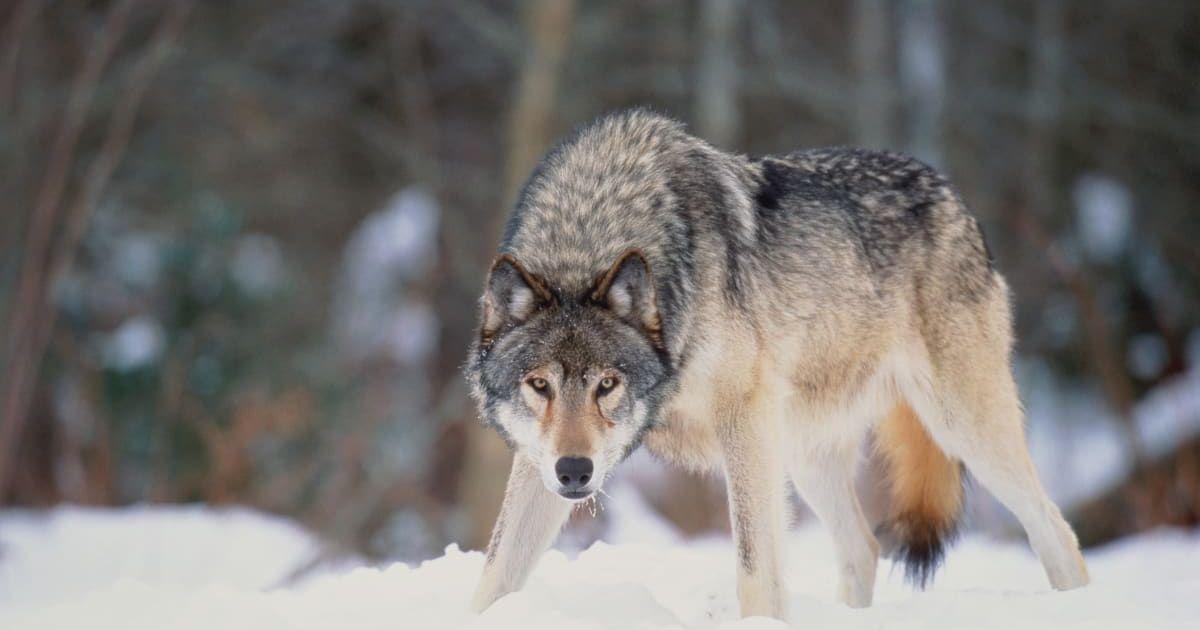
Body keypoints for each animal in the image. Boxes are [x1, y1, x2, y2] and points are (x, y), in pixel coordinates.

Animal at [465, 109, 1089, 620]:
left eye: (607, 384)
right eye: (539, 385)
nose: (576, 471)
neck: (591, 229)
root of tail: (950, 190)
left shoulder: (744, 420)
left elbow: (754, 567)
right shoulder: (537, 459)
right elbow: (495, 572)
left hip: (961, 428)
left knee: (1057, 532)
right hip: (805, 455)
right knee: (863, 549)